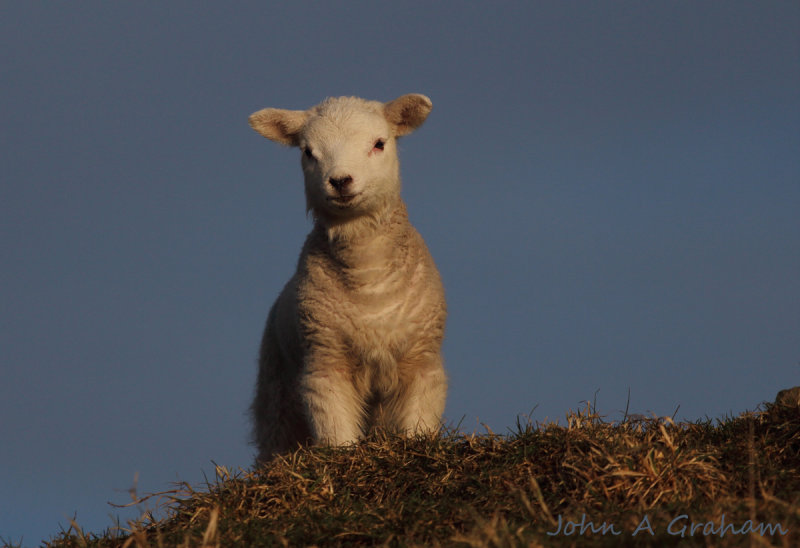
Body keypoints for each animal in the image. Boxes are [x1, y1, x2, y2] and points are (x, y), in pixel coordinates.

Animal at [248, 94, 446, 462]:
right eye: (307, 151)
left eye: (379, 143)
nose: (340, 181)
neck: (368, 280)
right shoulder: (325, 364)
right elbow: (336, 431)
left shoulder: (421, 362)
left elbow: (418, 425)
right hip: (277, 397)